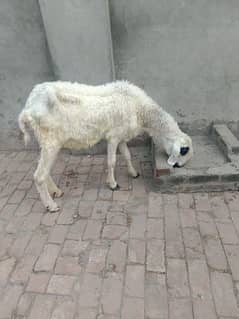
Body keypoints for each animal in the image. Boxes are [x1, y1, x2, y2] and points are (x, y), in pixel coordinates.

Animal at [18, 81, 192, 211]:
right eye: (183, 152)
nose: (177, 166)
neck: (139, 108)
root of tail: (28, 107)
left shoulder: (121, 136)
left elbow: (127, 155)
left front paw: (133, 173)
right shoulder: (113, 137)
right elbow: (112, 161)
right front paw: (113, 184)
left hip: (46, 142)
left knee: (43, 170)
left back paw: (56, 191)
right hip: (51, 142)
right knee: (39, 176)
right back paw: (51, 205)